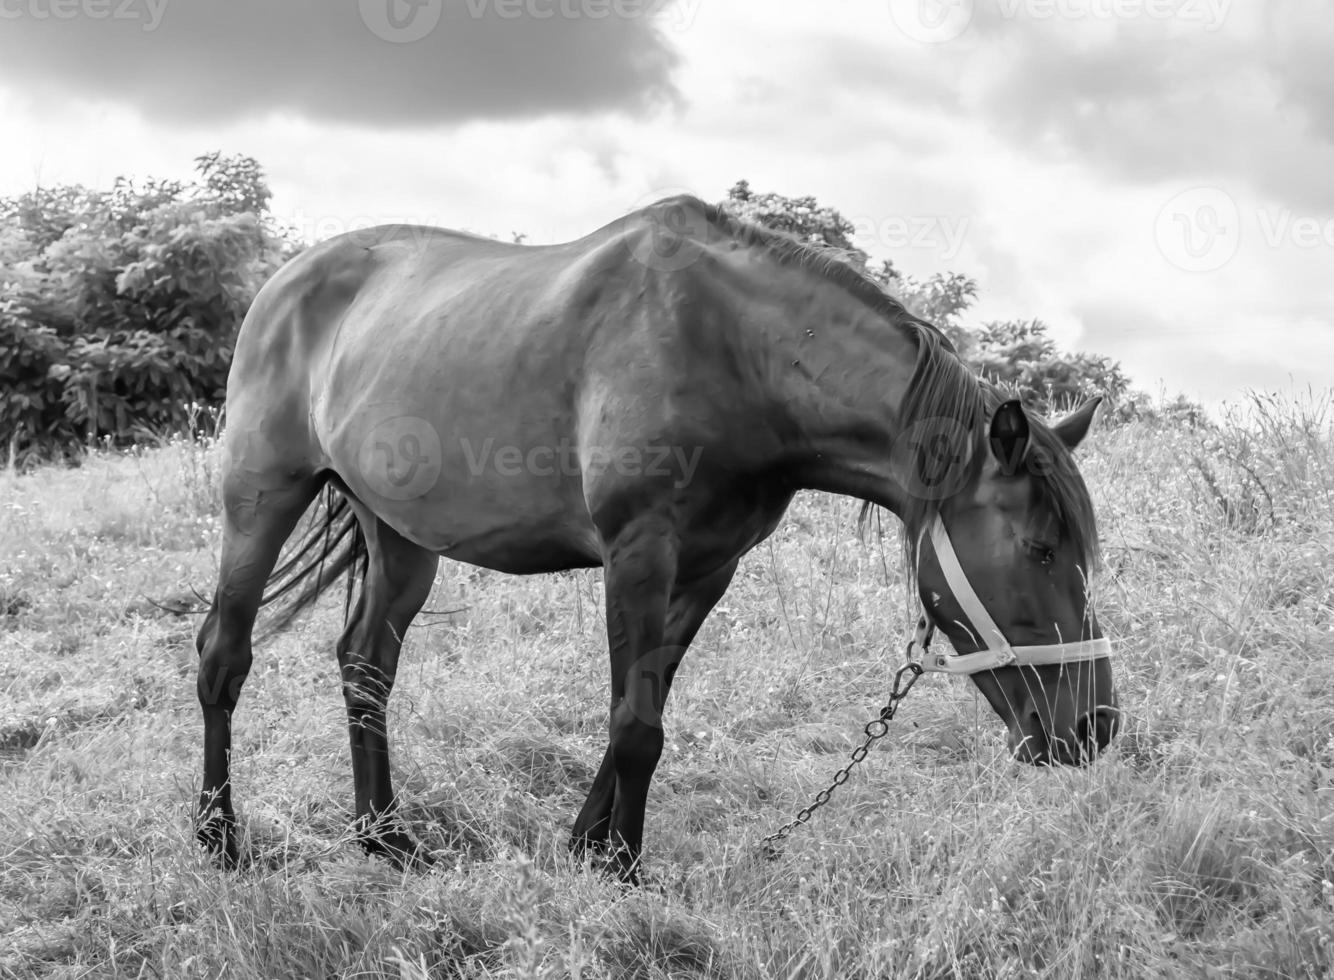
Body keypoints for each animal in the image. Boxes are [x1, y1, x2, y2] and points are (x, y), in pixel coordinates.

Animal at [193, 196, 1120, 885]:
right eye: (1041, 550)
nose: (1095, 729)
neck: (736, 354)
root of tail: (283, 283)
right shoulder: (638, 553)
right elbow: (638, 725)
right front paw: (626, 871)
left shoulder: (708, 570)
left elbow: (642, 710)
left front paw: (587, 850)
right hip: (260, 498)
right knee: (223, 655)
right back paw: (218, 838)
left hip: (400, 536)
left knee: (366, 666)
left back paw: (384, 837)